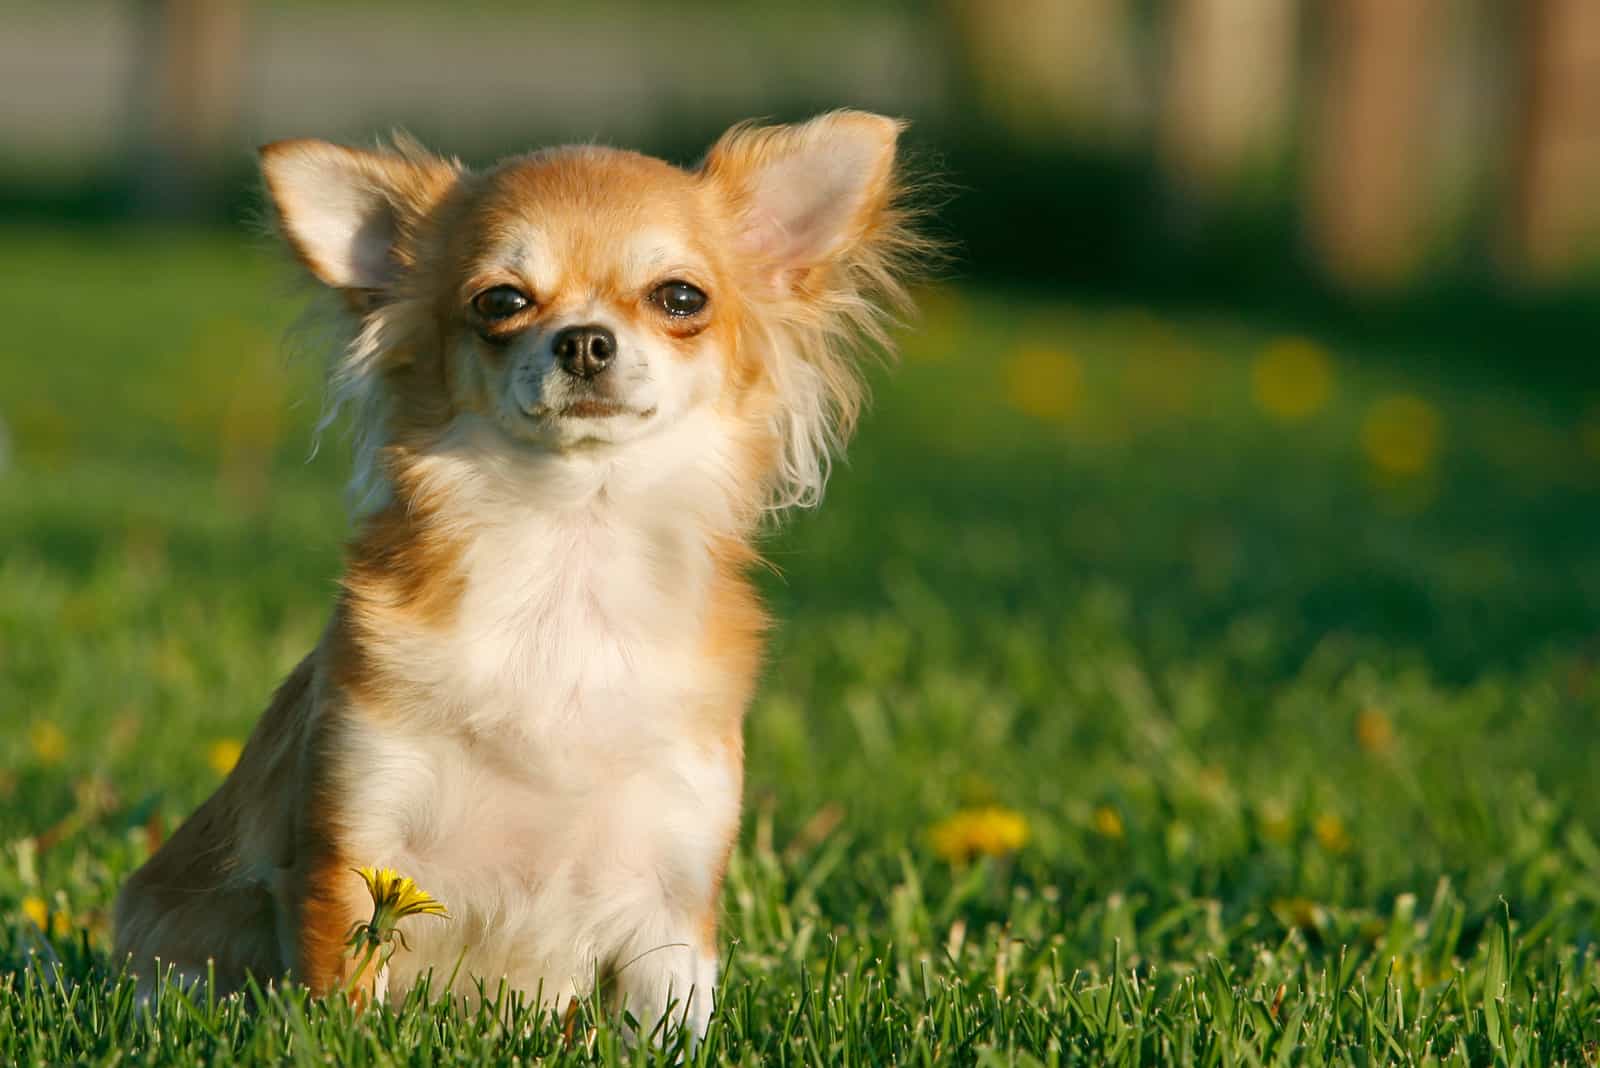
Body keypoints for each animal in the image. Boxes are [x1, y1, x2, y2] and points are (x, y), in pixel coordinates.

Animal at [116, 110, 928, 1036]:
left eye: (681, 298)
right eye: (499, 302)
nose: (583, 340)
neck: (569, 557)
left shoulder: (672, 898)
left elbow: (666, 1024)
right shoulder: (354, 849)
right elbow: (343, 1001)